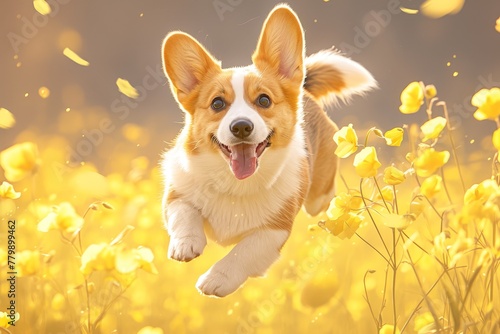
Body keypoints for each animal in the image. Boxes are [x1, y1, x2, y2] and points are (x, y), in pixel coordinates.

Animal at [161, 3, 376, 296]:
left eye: (264, 100)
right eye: (217, 104)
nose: (241, 127)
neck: (235, 184)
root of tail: (305, 91)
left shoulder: (273, 231)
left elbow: (243, 251)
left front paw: (216, 279)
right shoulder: (176, 195)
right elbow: (184, 214)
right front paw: (186, 244)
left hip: (316, 197)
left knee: (322, 198)